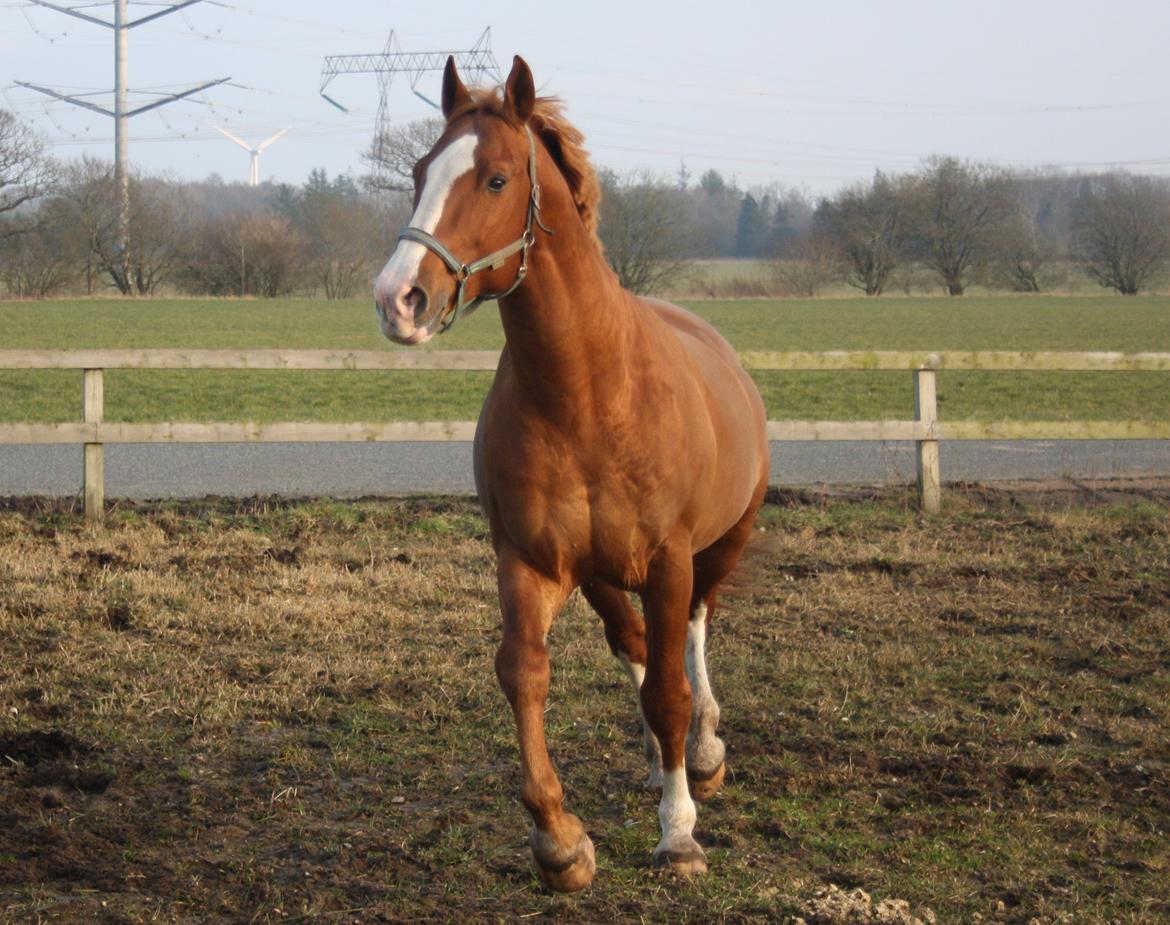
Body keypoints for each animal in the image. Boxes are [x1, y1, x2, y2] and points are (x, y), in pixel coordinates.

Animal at [374, 54, 772, 893]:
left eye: (495, 178)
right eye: (420, 171)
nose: (399, 299)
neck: (586, 393)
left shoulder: (668, 561)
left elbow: (671, 689)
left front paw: (680, 835)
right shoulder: (531, 561)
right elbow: (526, 672)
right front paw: (559, 839)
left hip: (720, 545)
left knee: (692, 637)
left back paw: (704, 755)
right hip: (598, 573)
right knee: (634, 643)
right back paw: (659, 762)